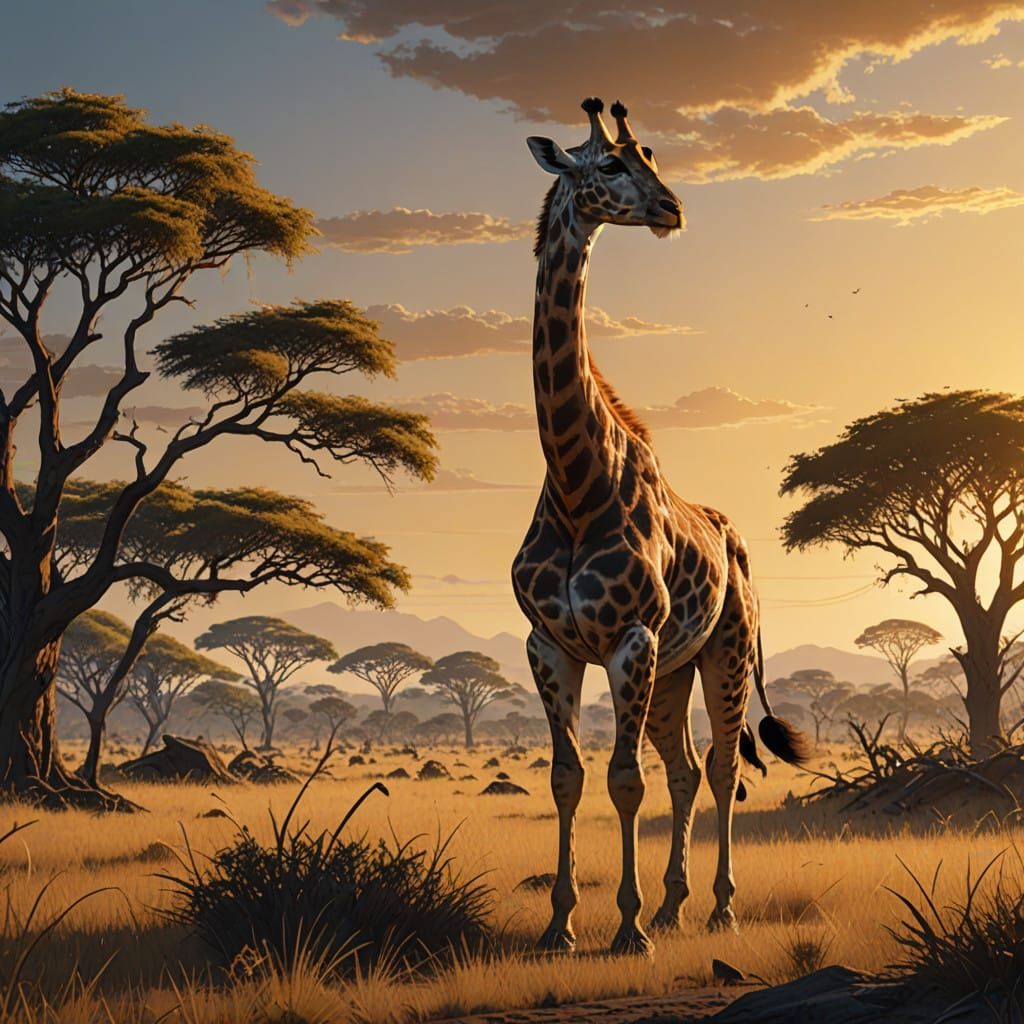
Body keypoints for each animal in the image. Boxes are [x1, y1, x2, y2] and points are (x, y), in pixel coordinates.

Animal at [512, 98, 811, 957]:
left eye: (651, 157)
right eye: (610, 165)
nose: (672, 208)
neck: (574, 482)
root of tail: (736, 541)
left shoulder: (630, 638)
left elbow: (623, 781)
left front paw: (627, 928)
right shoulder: (550, 644)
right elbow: (567, 777)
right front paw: (559, 927)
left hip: (724, 650)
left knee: (719, 765)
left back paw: (717, 909)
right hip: (676, 667)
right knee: (683, 766)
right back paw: (678, 905)